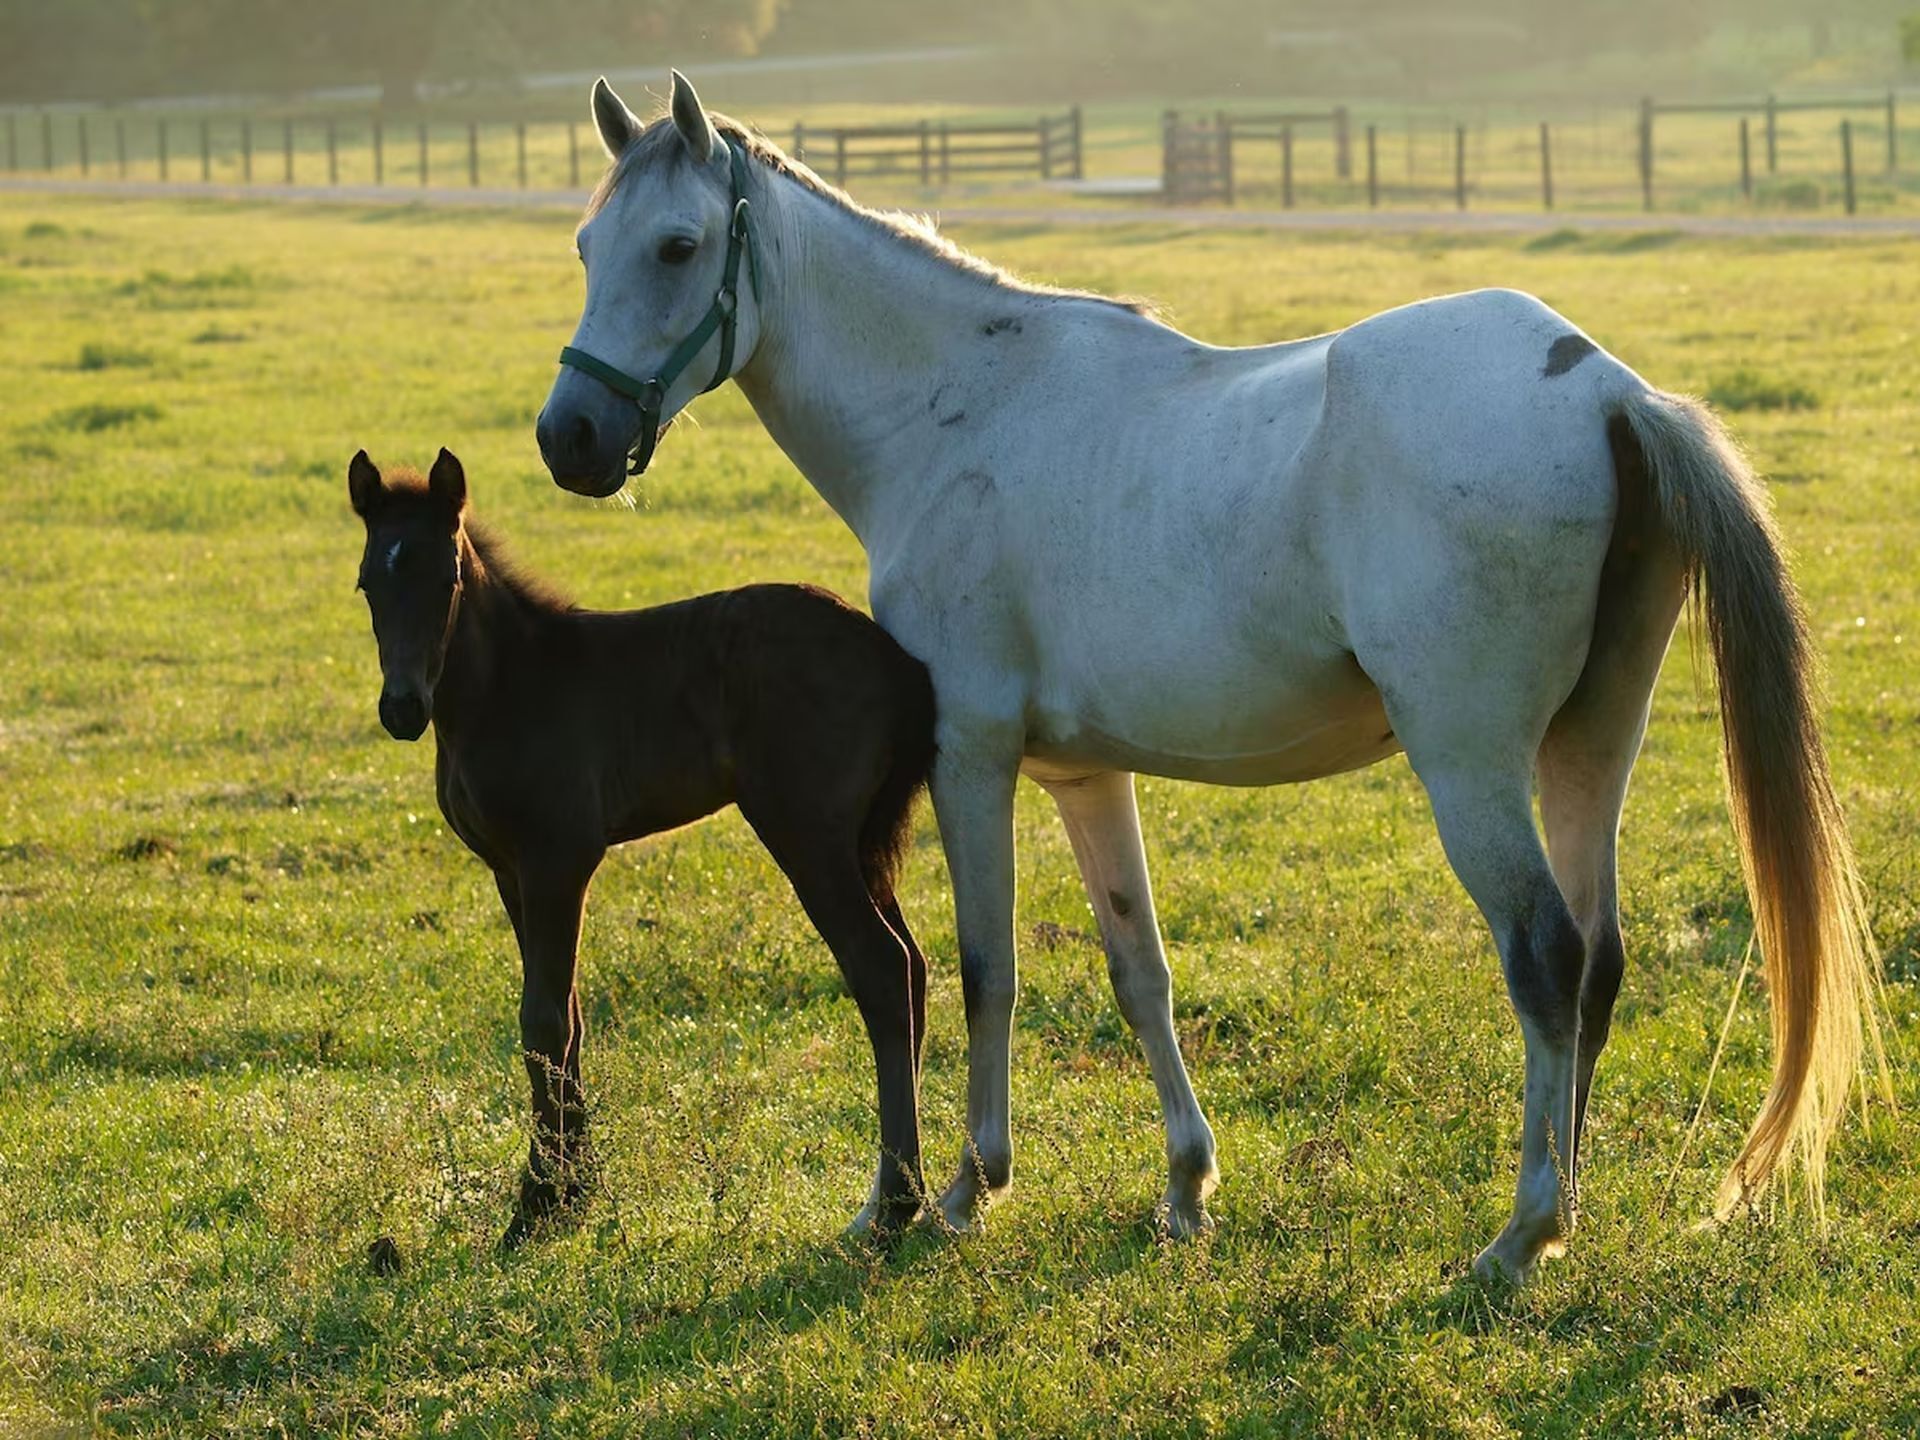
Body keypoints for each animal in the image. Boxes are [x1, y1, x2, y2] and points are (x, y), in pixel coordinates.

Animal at [347, 447, 937, 1245]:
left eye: (448, 580)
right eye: (368, 583)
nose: (403, 709)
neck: (508, 689)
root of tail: (892, 658)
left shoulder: (559, 858)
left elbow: (542, 1020)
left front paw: (538, 1202)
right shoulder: (511, 871)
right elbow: (565, 1018)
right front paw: (575, 1189)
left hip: (808, 835)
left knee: (879, 968)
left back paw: (897, 1205)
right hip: (858, 844)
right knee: (913, 967)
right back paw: (892, 1195)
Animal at [533, 73, 1884, 1280]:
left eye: (677, 246)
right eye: (588, 245)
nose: (569, 439)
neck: (957, 411)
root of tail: (1604, 387)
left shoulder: (971, 755)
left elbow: (983, 969)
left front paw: (969, 1188)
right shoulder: (1083, 776)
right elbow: (1140, 973)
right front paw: (1187, 1185)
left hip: (1472, 764)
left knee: (1546, 958)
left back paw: (1522, 1232)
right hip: (1589, 747)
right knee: (1599, 962)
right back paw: (1572, 1202)